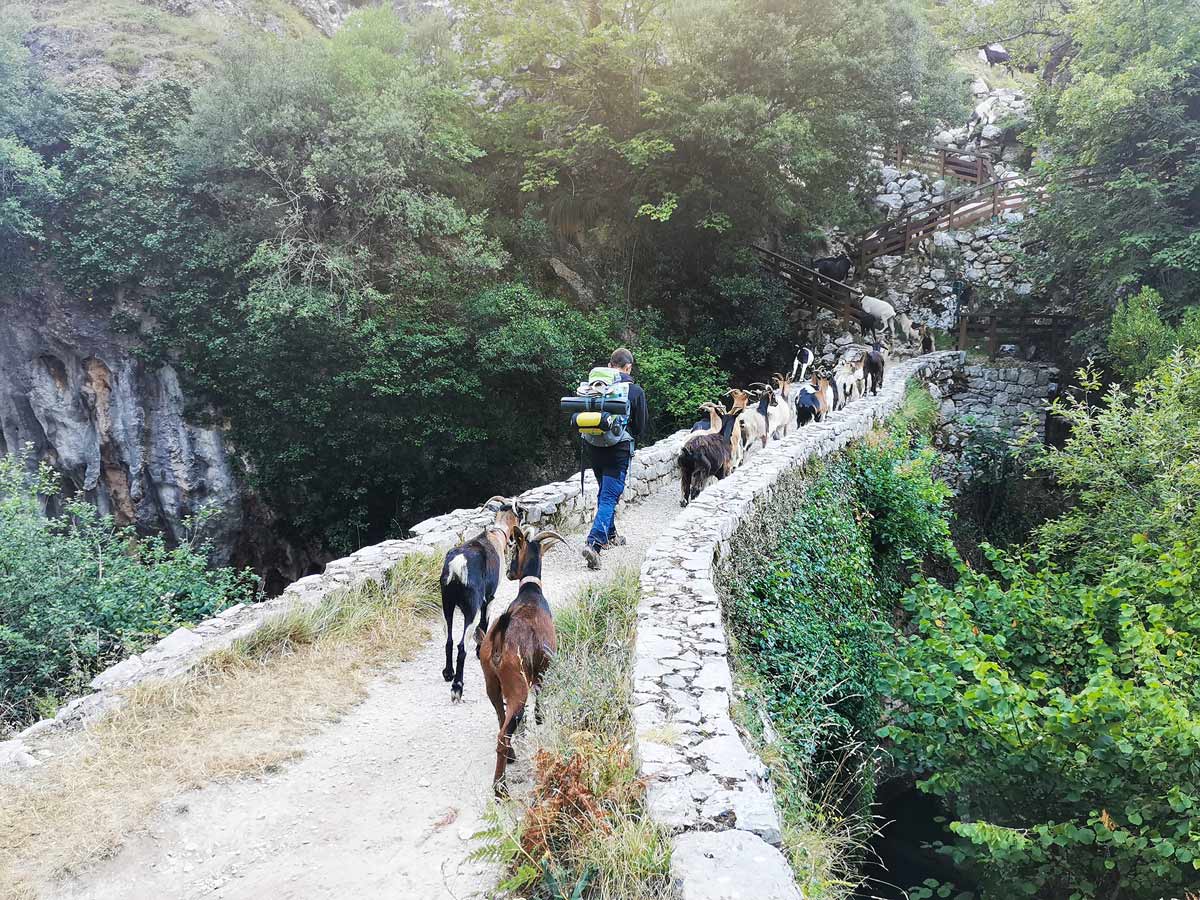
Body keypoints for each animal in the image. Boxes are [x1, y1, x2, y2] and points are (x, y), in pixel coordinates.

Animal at [436, 501, 520, 705]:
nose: (513, 541)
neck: (496, 535)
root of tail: (457, 566)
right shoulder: (489, 598)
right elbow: (484, 623)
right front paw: (480, 649)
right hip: (470, 609)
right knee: (461, 647)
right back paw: (457, 687)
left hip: (447, 605)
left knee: (449, 640)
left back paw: (448, 673)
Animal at [477, 528, 561, 796]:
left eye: (514, 550)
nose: (509, 572)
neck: (530, 593)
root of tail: (499, 641)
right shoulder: (544, 668)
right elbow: (540, 694)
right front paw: (539, 719)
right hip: (517, 686)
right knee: (503, 734)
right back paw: (500, 788)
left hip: (492, 683)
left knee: (501, 719)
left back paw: (511, 757)